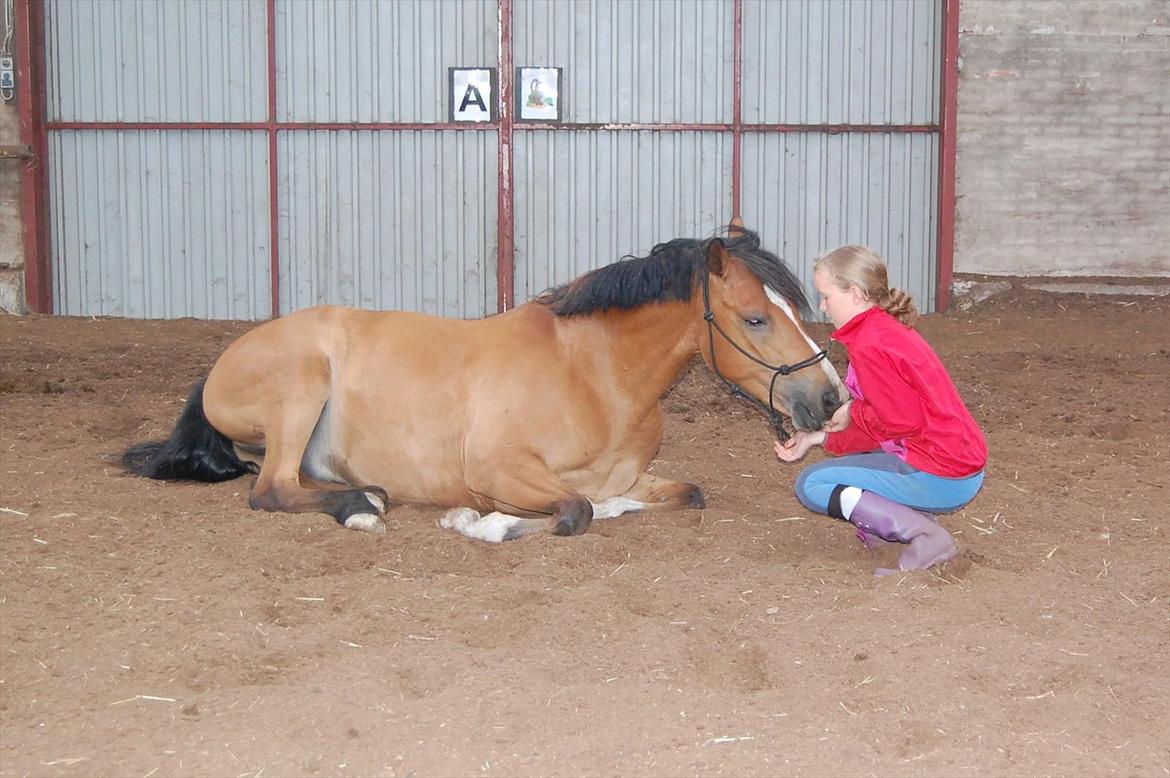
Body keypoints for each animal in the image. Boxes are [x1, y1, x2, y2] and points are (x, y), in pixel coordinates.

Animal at [123, 224, 847, 540]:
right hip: (303, 385)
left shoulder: (639, 476)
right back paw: (362, 507)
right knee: (270, 491)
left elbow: (676, 494)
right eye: (755, 318)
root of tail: (227, 359)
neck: (593, 375)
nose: (830, 397)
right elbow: (575, 511)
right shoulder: (500, 468)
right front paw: (481, 519)